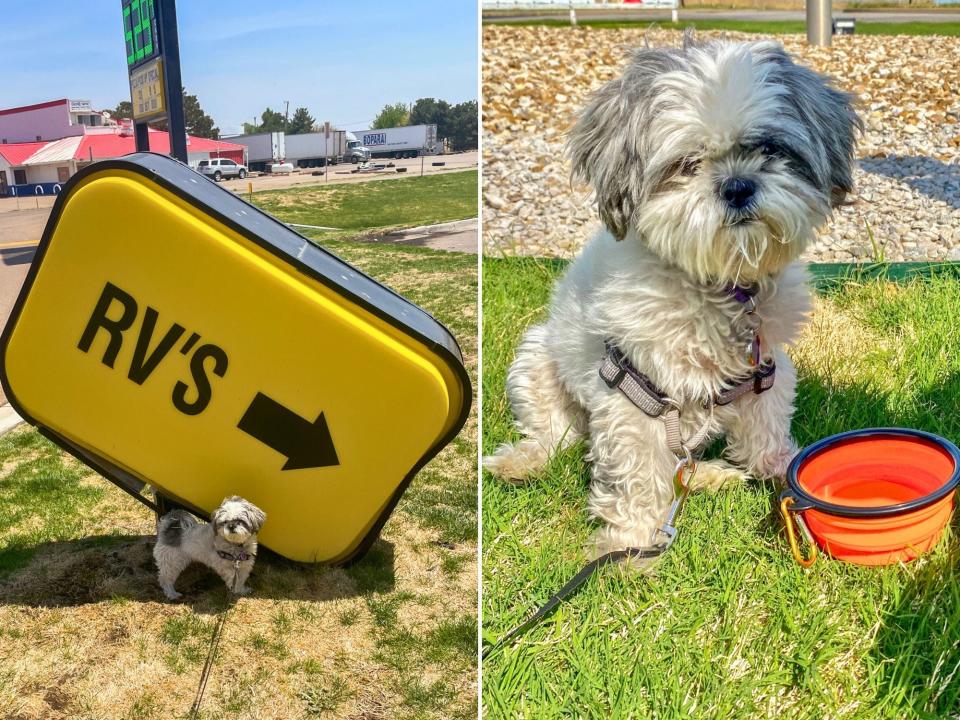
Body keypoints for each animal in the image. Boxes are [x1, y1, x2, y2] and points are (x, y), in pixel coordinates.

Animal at [488, 38, 864, 556]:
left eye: (768, 149)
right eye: (688, 164)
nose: (737, 186)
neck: (716, 286)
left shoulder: (767, 371)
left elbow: (766, 431)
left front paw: (782, 471)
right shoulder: (632, 389)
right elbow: (638, 472)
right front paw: (630, 543)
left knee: (685, 462)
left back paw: (708, 475)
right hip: (536, 361)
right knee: (554, 437)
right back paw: (521, 461)